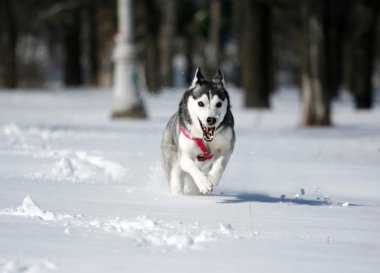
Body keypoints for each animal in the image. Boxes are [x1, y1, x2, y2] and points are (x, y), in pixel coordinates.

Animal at [160, 68, 235, 196]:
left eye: (219, 104)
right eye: (201, 103)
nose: (211, 119)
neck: (205, 139)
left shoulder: (227, 147)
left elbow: (219, 165)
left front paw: (212, 179)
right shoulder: (184, 155)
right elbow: (191, 166)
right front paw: (204, 183)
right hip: (172, 161)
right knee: (176, 179)